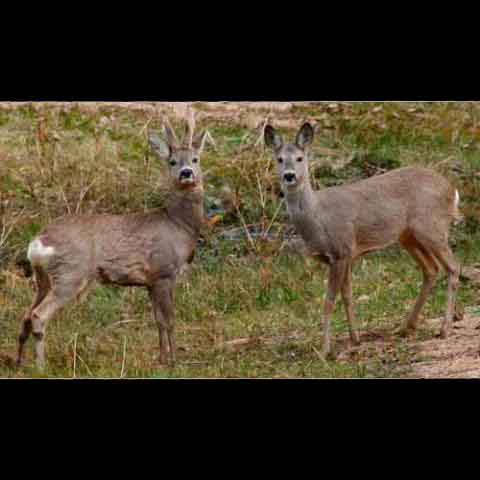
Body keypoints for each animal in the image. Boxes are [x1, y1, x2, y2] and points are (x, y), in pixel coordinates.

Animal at [17, 113, 209, 372]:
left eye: (195, 159)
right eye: (172, 162)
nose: (187, 173)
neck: (178, 225)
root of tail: (38, 242)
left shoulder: (150, 281)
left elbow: (158, 320)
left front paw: (161, 359)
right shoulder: (164, 271)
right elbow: (170, 320)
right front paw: (174, 362)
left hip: (44, 278)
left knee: (26, 315)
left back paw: (18, 363)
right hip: (70, 273)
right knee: (38, 315)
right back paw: (41, 367)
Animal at [266, 122, 462, 358]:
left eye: (299, 158)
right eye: (279, 159)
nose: (289, 176)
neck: (317, 218)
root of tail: (452, 190)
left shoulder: (341, 251)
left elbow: (329, 301)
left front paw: (325, 350)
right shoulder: (347, 256)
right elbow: (347, 296)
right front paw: (355, 338)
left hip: (431, 227)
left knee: (453, 266)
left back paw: (444, 329)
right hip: (409, 236)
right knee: (431, 269)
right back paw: (406, 327)